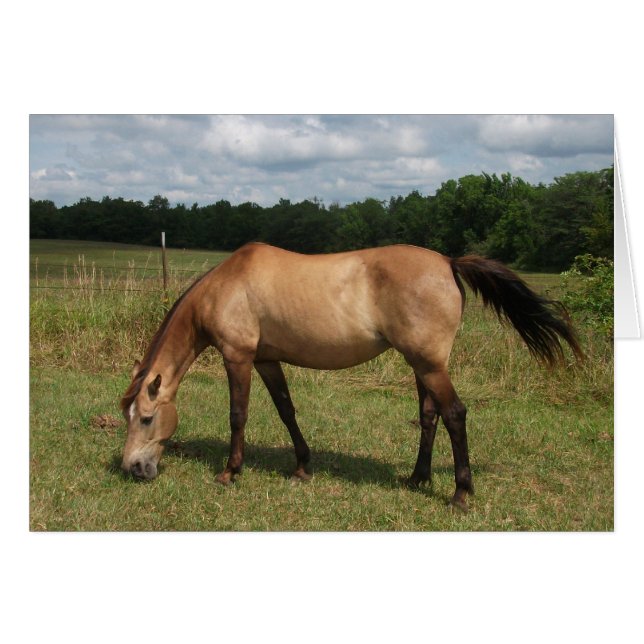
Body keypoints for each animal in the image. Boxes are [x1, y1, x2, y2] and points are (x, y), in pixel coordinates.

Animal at [120, 242, 582, 510]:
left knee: (454, 415)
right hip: (421, 365)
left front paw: (230, 472)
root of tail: (449, 262)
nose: (133, 468)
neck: (227, 285)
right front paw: (302, 466)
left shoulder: (238, 358)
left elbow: (238, 416)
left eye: (146, 418)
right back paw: (417, 478)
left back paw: (459, 494)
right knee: (429, 415)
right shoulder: (267, 360)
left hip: (431, 365)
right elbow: (287, 411)